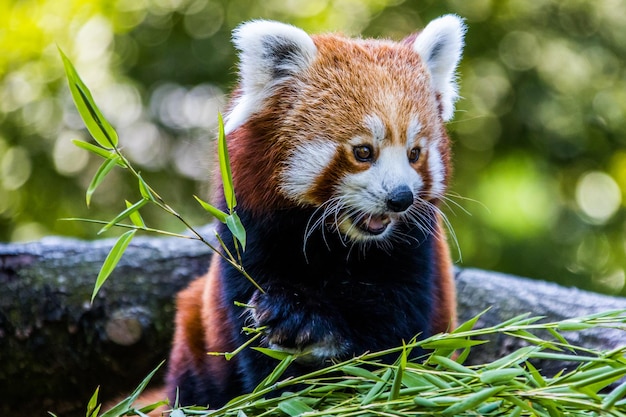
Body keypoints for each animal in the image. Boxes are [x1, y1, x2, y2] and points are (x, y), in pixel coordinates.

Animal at [154, 14, 464, 412]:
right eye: (363, 152)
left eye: (415, 154)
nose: (401, 198)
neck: (339, 242)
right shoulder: (247, 233)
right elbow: (258, 349)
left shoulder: (416, 253)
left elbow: (392, 341)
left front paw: (314, 330)